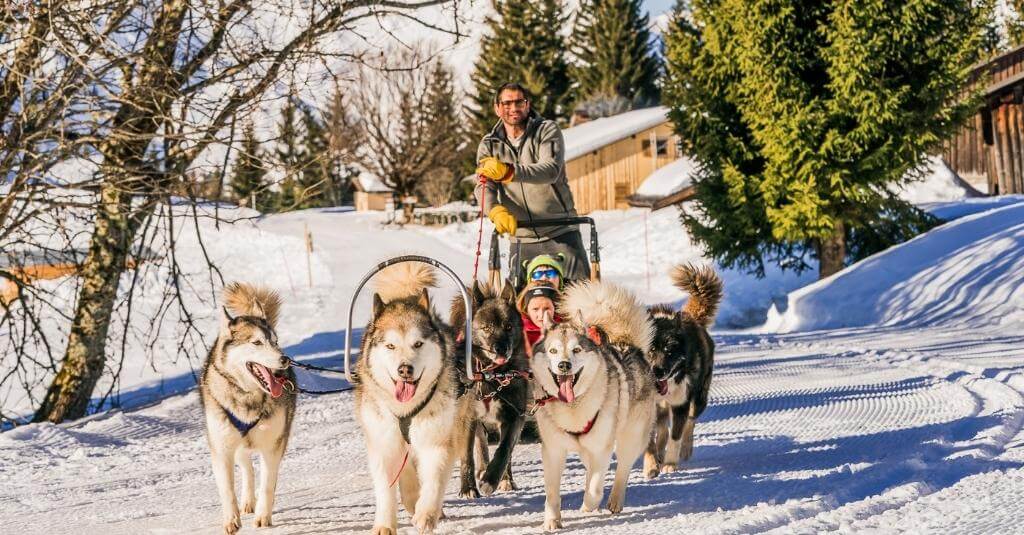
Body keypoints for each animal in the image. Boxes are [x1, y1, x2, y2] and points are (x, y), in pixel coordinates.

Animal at [198, 280, 296, 528]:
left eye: (275, 342)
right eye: (257, 342)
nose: (284, 359)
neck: (248, 396)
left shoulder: (273, 446)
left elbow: (268, 484)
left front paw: (263, 516)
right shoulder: (222, 449)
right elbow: (226, 488)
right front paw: (231, 519)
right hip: (238, 443)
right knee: (247, 468)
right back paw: (247, 501)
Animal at [356, 262, 475, 532]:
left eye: (418, 344)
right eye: (390, 346)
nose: (405, 369)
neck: (405, 409)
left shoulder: (437, 441)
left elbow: (434, 480)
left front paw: (426, 514)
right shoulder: (384, 445)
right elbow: (386, 489)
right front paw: (384, 524)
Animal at [448, 278, 528, 496]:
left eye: (508, 326)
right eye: (486, 328)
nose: (501, 348)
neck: (491, 375)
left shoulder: (514, 415)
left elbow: (504, 450)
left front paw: (492, 480)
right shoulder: (466, 417)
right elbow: (467, 455)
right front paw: (468, 488)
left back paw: (504, 478)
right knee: (480, 443)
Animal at [532, 280, 659, 524]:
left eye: (576, 349)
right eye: (552, 350)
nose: (563, 365)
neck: (573, 408)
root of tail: (627, 345)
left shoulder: (602, 448)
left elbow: (594, 489)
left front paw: (589, 506)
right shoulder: (553, 450)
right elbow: (551, 491)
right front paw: (552, 520)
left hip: (629, 437)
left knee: (622, 469)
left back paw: (615, 501)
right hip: (586, 449)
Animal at [643, 262, 724, 475]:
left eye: (670, 350)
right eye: (651, 350)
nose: (658, 371)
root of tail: (692, 317)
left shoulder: (681, 404)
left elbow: (676, 436)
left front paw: (670, 463)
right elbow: (650, 440)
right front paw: (651, 466)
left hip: (699, 396)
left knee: (690, 421)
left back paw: (685, 448)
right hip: (661, 407)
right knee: (662, 427)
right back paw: (659, 453)